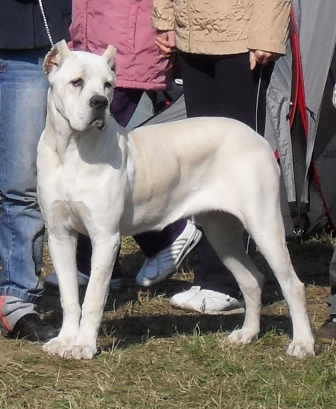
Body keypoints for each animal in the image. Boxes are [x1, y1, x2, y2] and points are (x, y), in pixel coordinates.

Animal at [36, 40, 316, 356]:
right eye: (77, 82)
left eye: (108, 85)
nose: (100, 103)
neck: (70, 149)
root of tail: (257, 137)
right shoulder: (60, 235)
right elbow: (69, 296)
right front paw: (64, 340)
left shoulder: (105, 238)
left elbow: (94, 297)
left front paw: (83, 345)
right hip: (221, 232)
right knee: (252, 280)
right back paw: (246, 334)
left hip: (264, 225)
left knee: (292, 285)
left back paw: (302, 344)